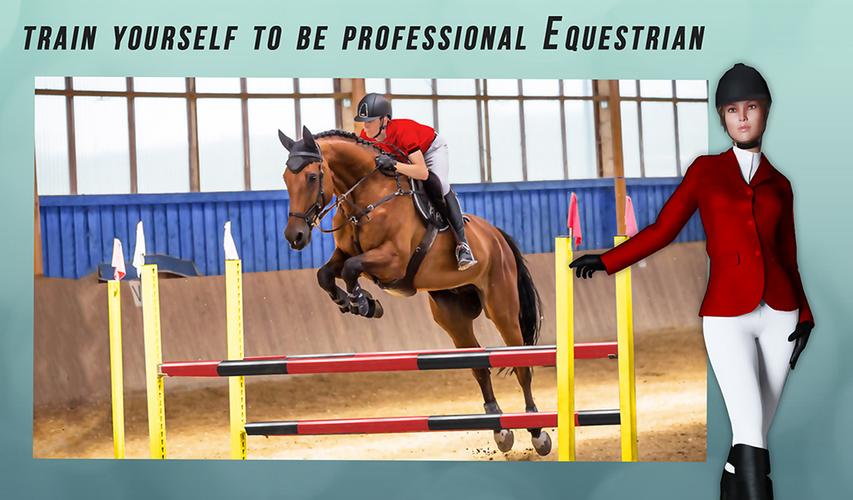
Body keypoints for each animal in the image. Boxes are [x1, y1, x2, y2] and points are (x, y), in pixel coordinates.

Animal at [278, 126, 549, 455]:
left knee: (521, 364)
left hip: (502, 308)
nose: (295, 237)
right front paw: (356, 303)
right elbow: (326, 274)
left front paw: (362, 302)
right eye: (285, 178)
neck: (364, 199)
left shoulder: (392, 261)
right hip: (452, 315)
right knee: (479, 366)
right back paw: (500, 429)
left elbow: (352, 268)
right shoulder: (345, 253)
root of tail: (496, 236)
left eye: (311, 177)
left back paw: (537, 431)